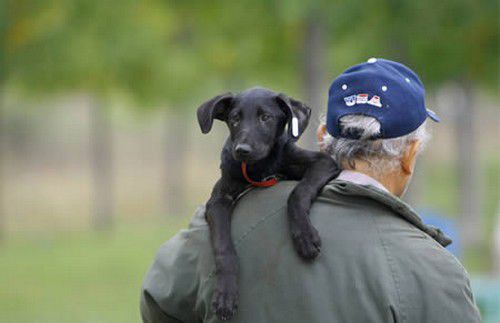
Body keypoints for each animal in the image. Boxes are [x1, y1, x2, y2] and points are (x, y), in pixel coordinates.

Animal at [197, 87, 342, 320]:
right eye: (234, 118)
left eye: (266, 118)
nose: (242, 150)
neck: (260, 168)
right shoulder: (218, 199)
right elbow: (223, 247)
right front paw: (226, 294)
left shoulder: (323, 162)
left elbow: (298, 192)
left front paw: (304, 237)